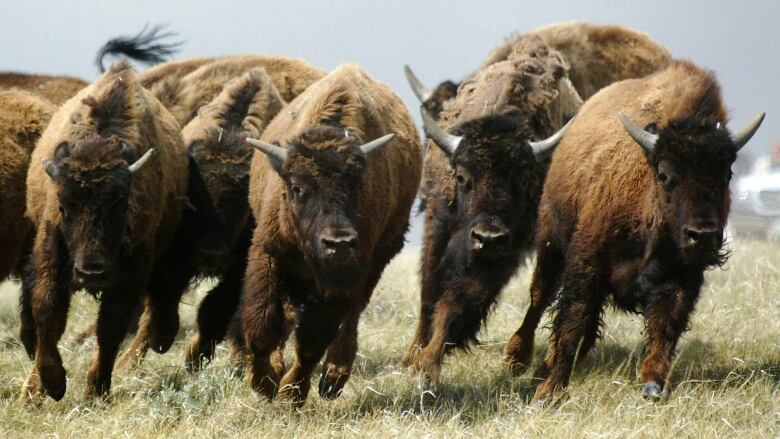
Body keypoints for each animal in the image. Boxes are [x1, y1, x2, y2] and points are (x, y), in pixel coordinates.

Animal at [20, 62, 188, 402]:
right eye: (64, 206)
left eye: (121, 205)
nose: (91, 273)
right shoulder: (49, 252)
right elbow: (47, 310)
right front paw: (54, 384)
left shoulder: (130, 275)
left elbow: (110, 327)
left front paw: (96, 390)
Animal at [244, 63, 424, 408]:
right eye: (297, 187)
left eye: (356, 185)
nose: (337, 244)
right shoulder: (269, 253)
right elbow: (263, 327)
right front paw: (265, 382)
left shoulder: (343, 278)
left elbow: (313, 341)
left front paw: (290, 393)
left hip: (376, 260)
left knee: (351, 316)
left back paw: (334, 378)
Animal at [402, 36, 572, 384]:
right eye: (461, 177)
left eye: (524, 179)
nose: (488, 237)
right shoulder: (438, 225)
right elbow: (429, 290)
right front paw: (413, 359)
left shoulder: (506, 249)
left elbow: (458, 299)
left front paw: (429, 364)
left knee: (540, 292)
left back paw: (519, 358)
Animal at [502, 60, 764, 404]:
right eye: (665, 174)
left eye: (727, 174)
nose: (703, 235)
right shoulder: (585, 264)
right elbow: (572, 320)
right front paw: (549, 392)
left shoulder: (682, 277)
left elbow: (664, 327)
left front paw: (653, 385)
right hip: (551, 243)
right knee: (539, 297)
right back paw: (517, 360)